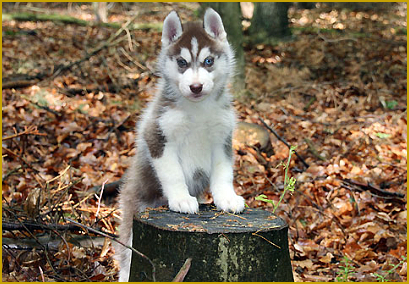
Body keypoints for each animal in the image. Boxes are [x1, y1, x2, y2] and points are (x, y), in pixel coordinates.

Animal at [116, 8, 244, 282]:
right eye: (182, 63)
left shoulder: (222, 139)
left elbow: (223, 174)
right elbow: (172, 174)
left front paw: (227, 198)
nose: (196, 86)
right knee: (126, 258)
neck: (197, 110)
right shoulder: (158, 135)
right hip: (133, 214)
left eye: (208, 61)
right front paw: (182, 199)